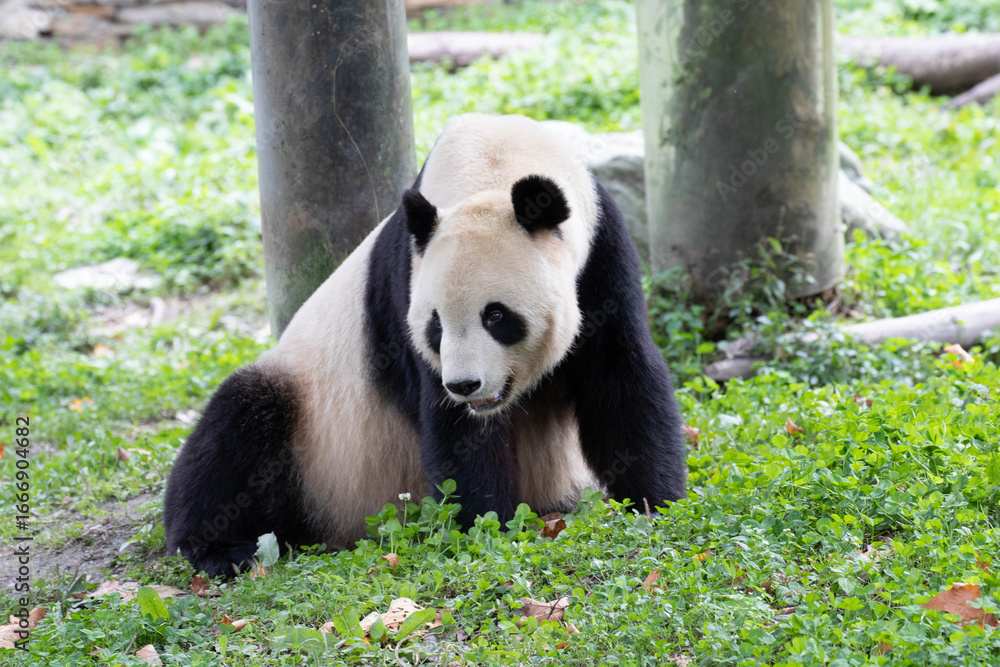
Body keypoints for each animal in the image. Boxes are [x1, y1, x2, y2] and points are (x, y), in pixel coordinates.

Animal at [164, 114, 687, 576]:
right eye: (435, 324)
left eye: (496, 316)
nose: (466, 386)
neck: (492, 168)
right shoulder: (408, 281)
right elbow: (453, 429)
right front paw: (488, 526)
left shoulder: (600, 252)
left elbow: (620, 376)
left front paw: (654, 501)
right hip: (314, 433)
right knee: (237, 432)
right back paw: (219, 549)